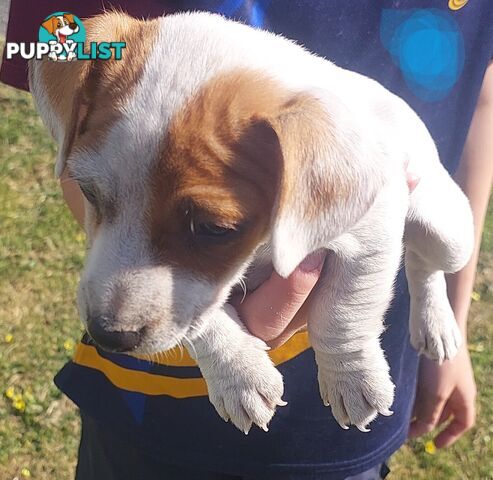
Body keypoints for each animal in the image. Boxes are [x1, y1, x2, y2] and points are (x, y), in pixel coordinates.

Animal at [29, 12, 472, 436]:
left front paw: (352, 377)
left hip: (450, 233)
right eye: (87, 192)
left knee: (424, 262)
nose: (107, 334)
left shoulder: (371, 232)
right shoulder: (198, 294)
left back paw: (435, 323)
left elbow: (343, 312)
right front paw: (238, 374)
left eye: (213, 229)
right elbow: (201, 318)